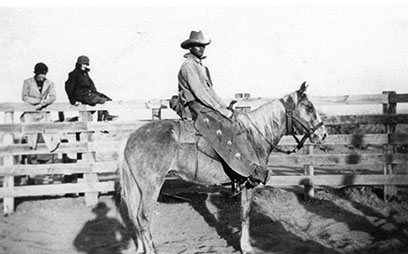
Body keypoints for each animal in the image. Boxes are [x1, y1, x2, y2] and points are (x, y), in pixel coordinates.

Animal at [119, 82, 326, 253]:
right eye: (308, 107)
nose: (323, 134)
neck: (254, 137)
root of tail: (132, 137)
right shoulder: (250, 184)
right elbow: (246, 214)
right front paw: (246, 247)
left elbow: (243, 214)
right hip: (151, 187)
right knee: (143, 218)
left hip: (139, 188)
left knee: (135, 217)